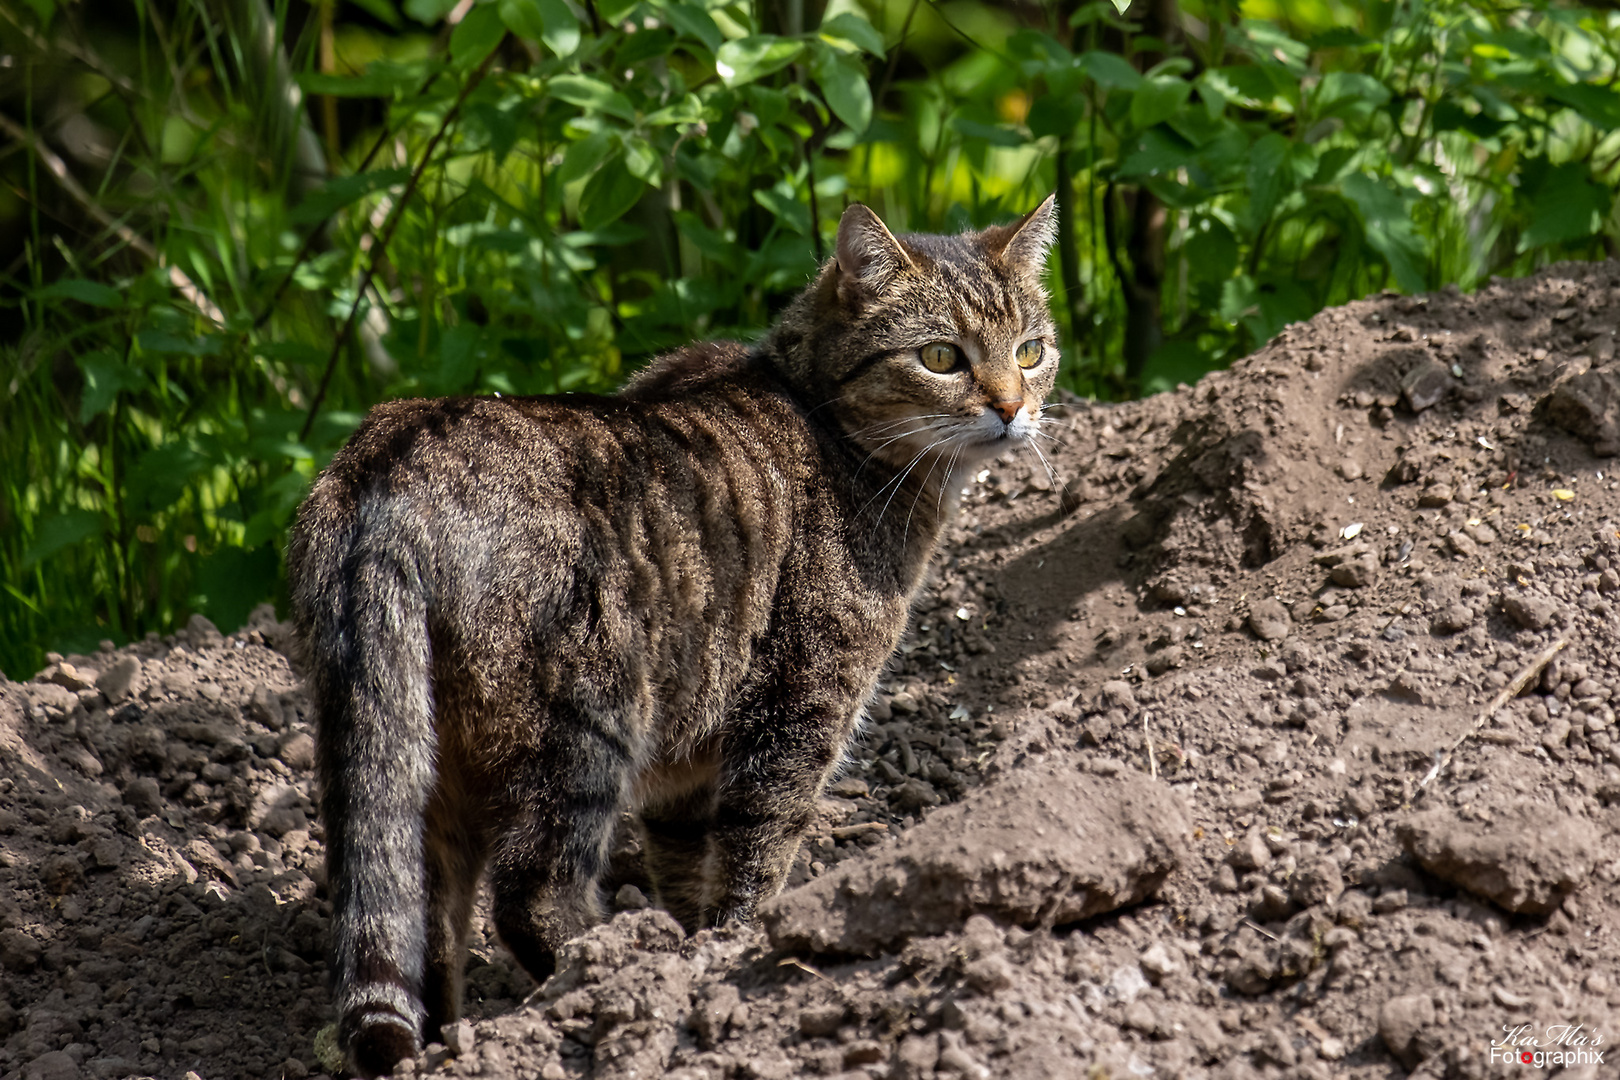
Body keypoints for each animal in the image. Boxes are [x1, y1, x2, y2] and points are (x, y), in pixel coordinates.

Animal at [281, 198, 1062, 1075]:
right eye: (941, 358)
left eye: (1030, 352)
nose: (1012, 408)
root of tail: (385, 465)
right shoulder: (802, 699)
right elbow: (760, 848)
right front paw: (727, 952)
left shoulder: (689, 762)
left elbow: (688, 862)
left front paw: (694, 951)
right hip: (583, 724)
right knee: (530, 896)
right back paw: (613, 970)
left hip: (425, 758)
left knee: (427, 921)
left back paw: (452, 1044)